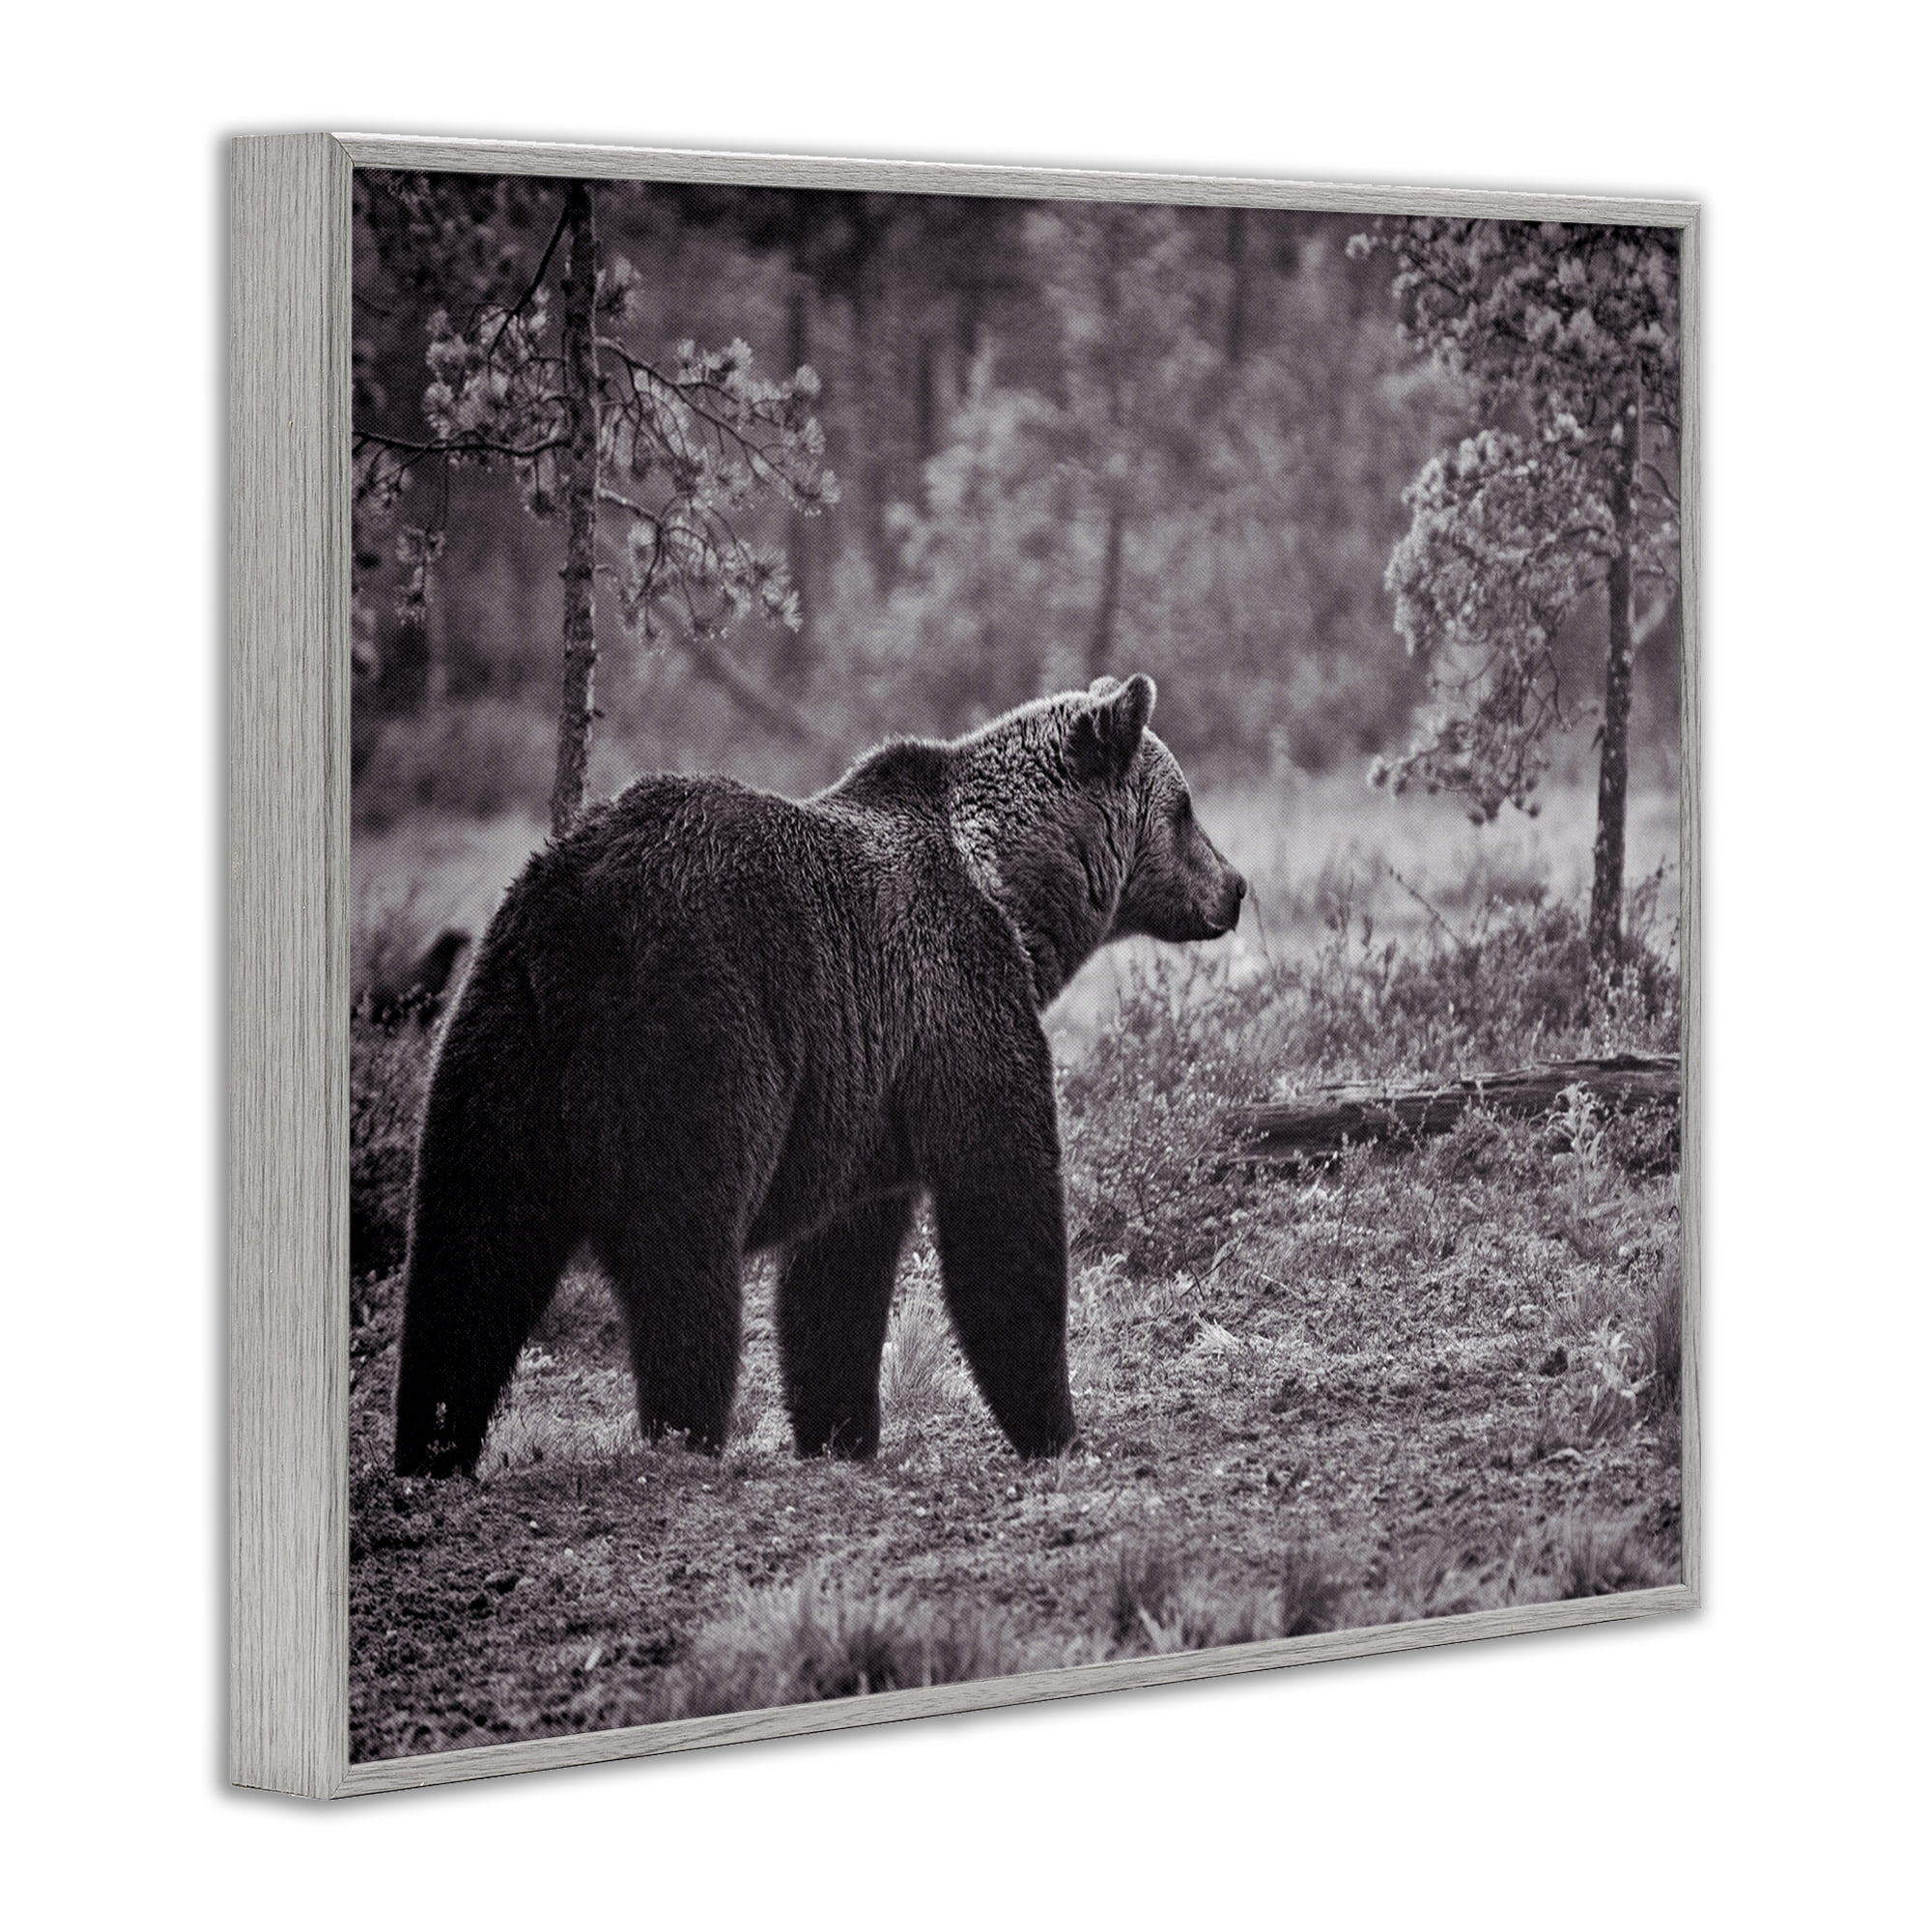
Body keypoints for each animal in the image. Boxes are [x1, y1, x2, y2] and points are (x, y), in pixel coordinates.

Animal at [392, 674, 1245, 1478]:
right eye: (1185, 808)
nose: (1235, 887)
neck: (1011, 891)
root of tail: (585, 910)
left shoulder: (866, 1098)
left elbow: (836, 1278)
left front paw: (841, 1433)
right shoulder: (958, 1000)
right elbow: (1001, 1204)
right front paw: (1057, 1429)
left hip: (501, 1037)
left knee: (467, 1256)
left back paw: (430, 1449)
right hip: (698, 1027)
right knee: (682, 1255)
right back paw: (686, 1435)